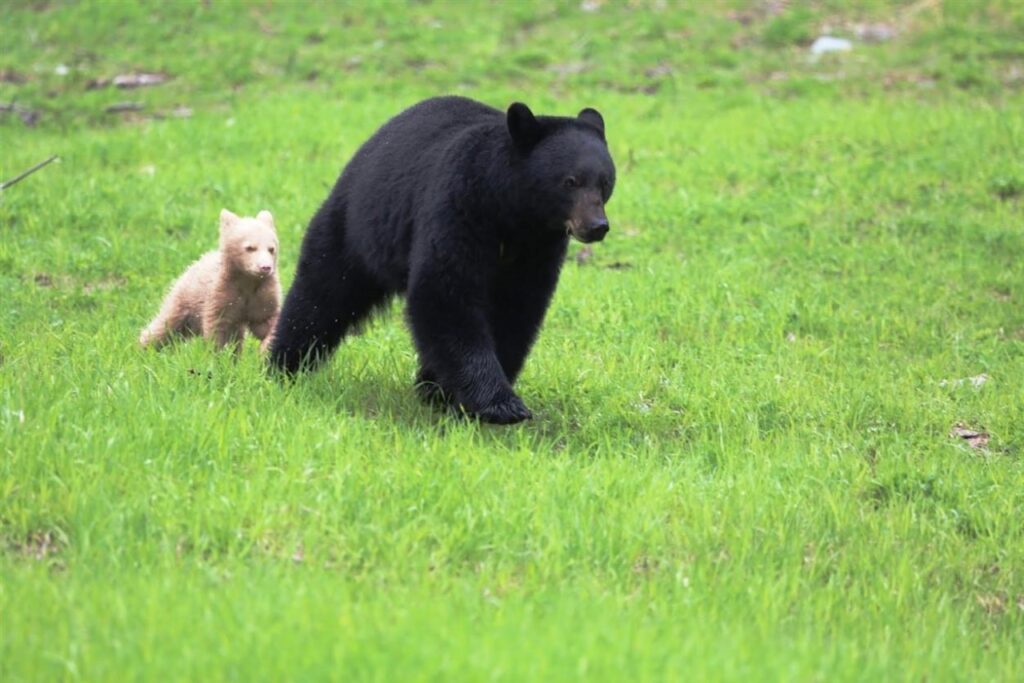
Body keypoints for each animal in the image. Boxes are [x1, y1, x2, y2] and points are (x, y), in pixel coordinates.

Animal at [268, 93, 614, 423]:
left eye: (605, 182)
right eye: (570, 181)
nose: (597, 226)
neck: (512, 214)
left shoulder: (538, 247)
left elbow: (518, 307)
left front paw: (457, 393)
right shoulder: (460, 205)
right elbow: (445, 291)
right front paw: (498, 403)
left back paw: (429, 385)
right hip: (358, 227)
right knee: (322, 292)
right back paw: (284, 365)